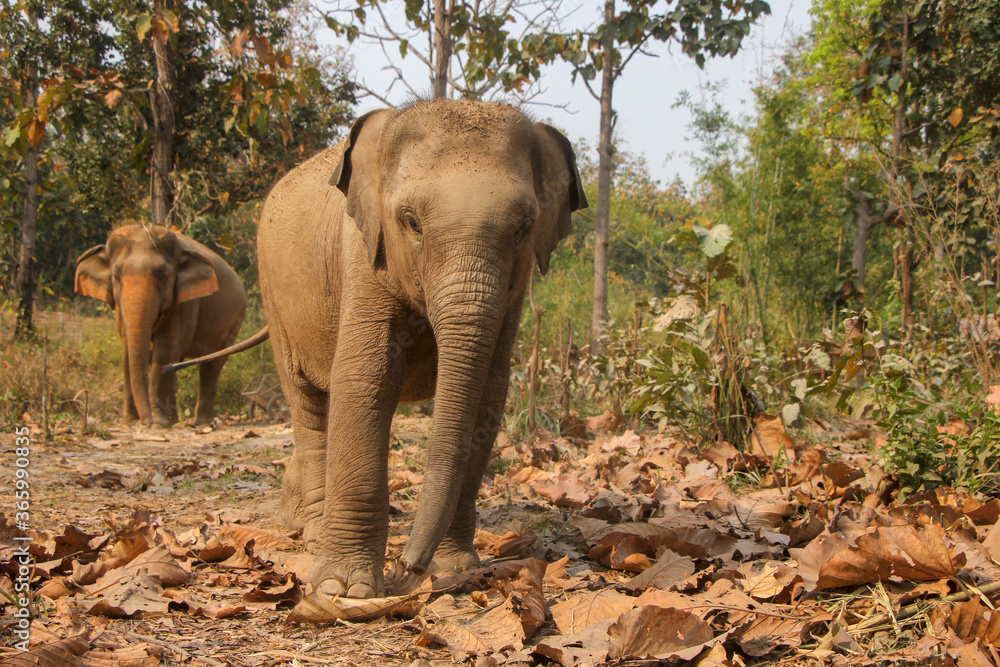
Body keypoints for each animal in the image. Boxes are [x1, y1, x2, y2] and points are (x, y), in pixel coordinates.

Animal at [75, 225, 247, 427]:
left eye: (163, 275)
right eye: (116, 275)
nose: (145, 421)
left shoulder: (186, 304)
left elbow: (165, 350)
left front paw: (157, 423)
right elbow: (127, 353)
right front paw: (129, 422)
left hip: (235, 320)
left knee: (211, 367)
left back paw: (199, 423)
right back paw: (176, 419)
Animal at [169, 99, 587, 598]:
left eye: (524, 227)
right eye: (411, 222)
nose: (408, 567)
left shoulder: (514, 294)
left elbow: (488, 392)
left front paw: (454, 568)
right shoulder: (364, 253)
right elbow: (365, 376)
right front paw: (342, 589)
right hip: (275, 299)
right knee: (307, 403)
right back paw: (311, 530)